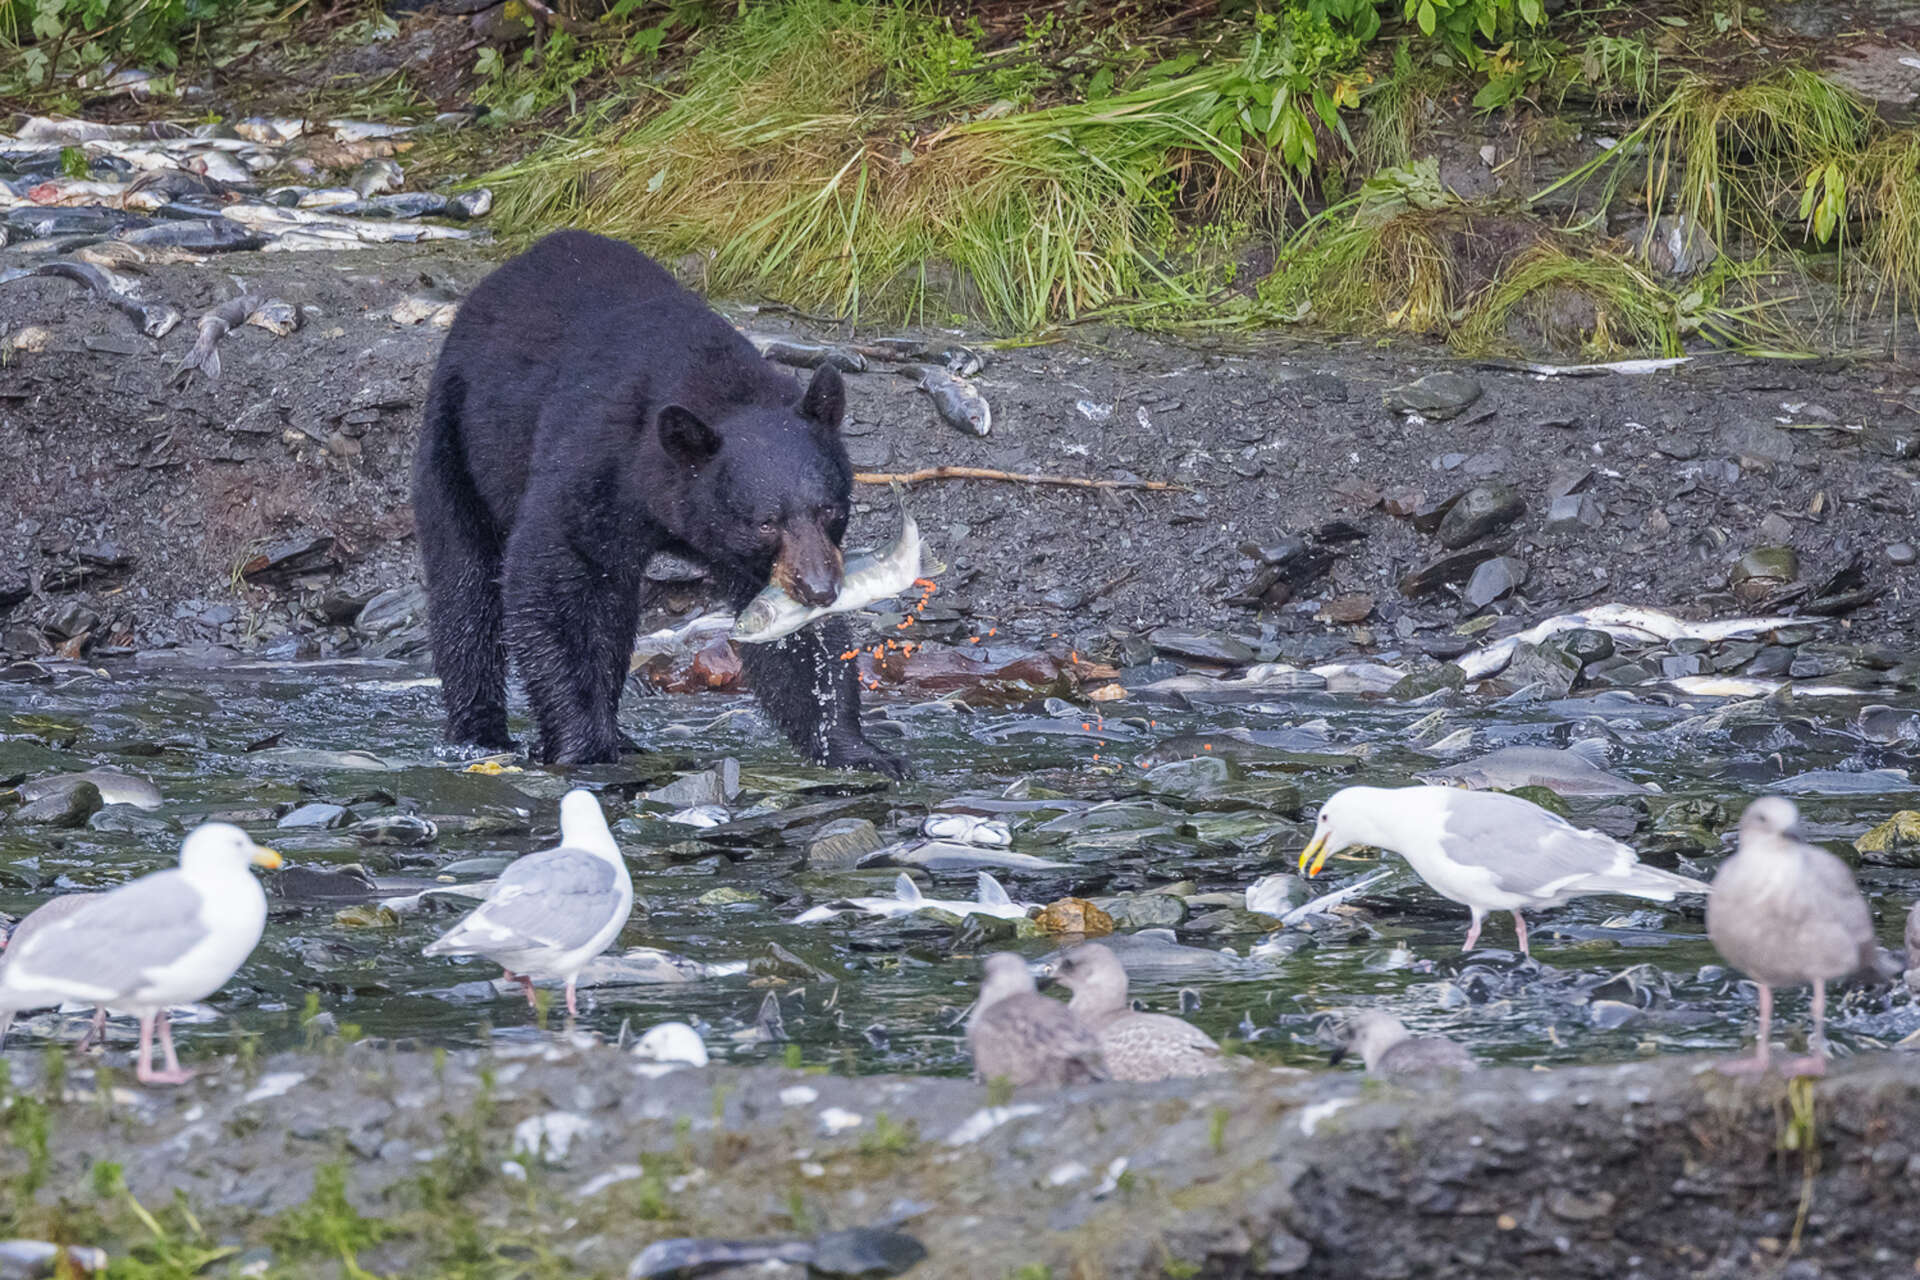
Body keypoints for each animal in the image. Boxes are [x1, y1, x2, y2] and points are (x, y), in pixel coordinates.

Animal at [412, 227, 906, 782]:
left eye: (830, 510)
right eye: (764, 523)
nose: (820, 589)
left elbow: (795, 643)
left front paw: (853, 747)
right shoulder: (592, 464)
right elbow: (551, 581)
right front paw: (584, 744)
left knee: (614, 613)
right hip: (456, 436)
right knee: (466, 583)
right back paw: (480, 730)